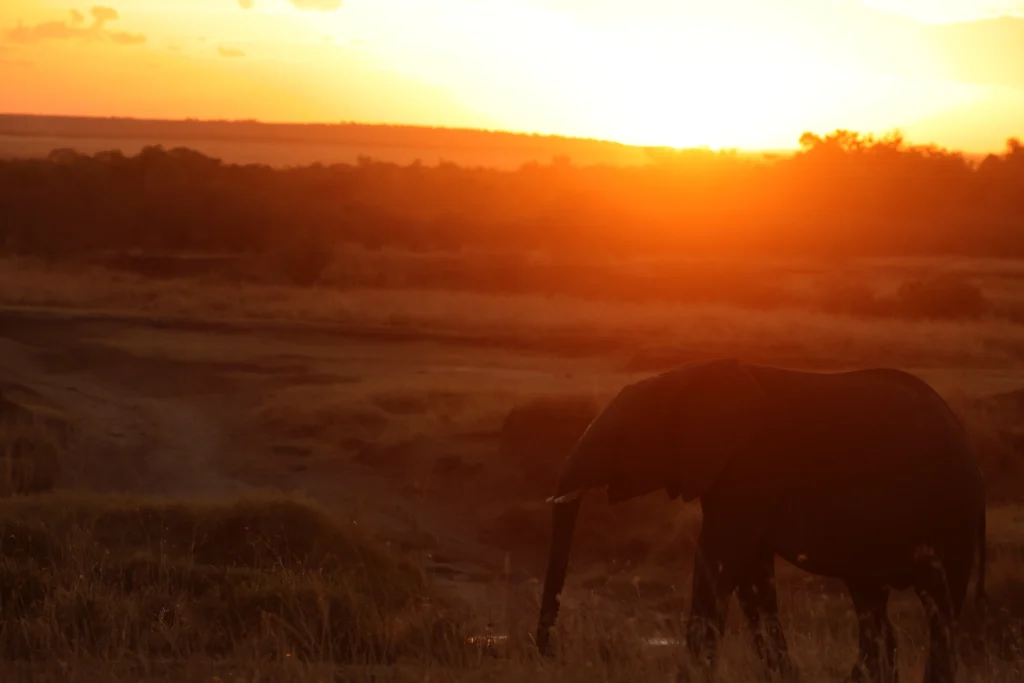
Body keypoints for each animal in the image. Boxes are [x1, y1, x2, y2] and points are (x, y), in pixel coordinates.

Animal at [535, 359, 987, 683]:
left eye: (620, 436)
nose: (550, 652)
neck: (687, 377)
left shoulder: (751, 467)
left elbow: (720, 561)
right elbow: (750, 574)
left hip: (951, 513)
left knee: (939, 610)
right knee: (871, 603)